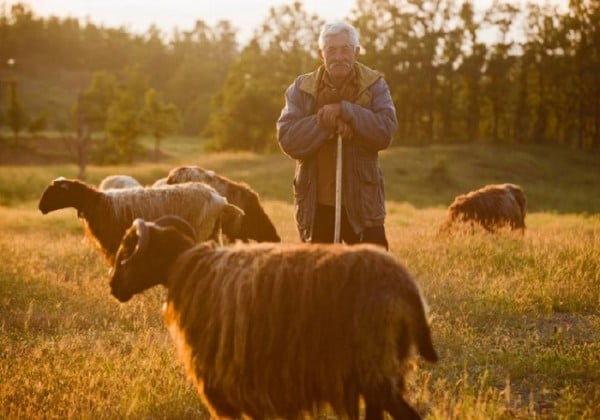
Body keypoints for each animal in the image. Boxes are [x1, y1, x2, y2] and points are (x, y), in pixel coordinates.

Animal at [37, 178, 243, 264]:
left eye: (54, 192)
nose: (40, 207)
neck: (97, 203)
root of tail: (219, 200)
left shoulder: (114, 242)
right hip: (212, 231)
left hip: (201, 230)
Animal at [109, 217, 436, 420]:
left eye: (127, 249)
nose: (112, 286)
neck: (188, 265)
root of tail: (407, 287)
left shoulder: (224, 383)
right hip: (378, 373)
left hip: (374, 370)